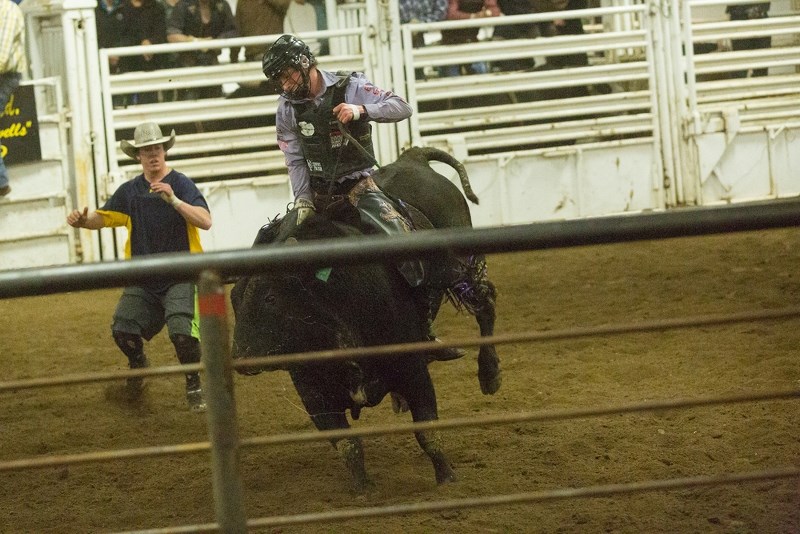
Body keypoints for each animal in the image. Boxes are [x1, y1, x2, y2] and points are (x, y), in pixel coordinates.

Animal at [228, 148, 496, 494]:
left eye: (271, 298)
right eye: (233, 299)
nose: (240, 358)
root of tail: (413, 158)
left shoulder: (412, 370)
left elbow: (427, 432)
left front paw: (446, 477)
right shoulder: (312, 393)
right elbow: (347, 445)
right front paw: (363, 490)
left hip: (463, 265)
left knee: (486, 305)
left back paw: (490, 374)